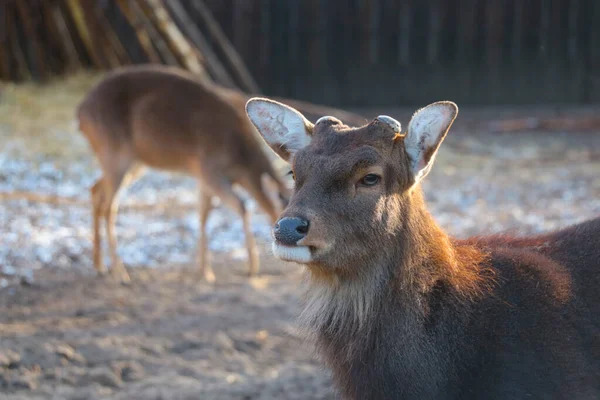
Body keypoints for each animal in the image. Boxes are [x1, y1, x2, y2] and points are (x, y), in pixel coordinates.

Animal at [75, 65, 290, 282]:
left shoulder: (204, 178)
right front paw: (252, 268)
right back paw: (120, 273)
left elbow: (203, 215)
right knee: (109, 207)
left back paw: (100, 265)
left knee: (96, 189)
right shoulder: (209, 170)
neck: (239, 160)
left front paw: (204, 270)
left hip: (133, 162)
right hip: (115, 153)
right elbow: (242, 206)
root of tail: (80, 114)